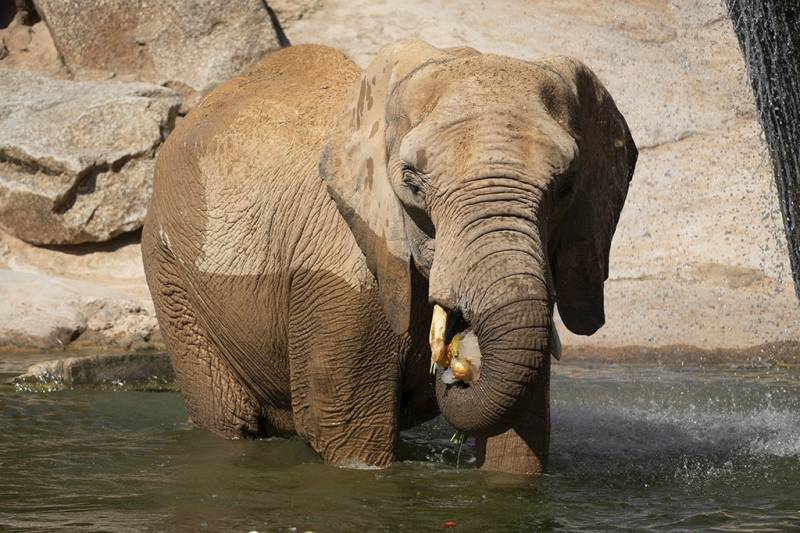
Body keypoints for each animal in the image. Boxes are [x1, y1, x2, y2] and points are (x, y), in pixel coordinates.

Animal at [144, 40, 636, 474]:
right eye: (412, 182)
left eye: (567, 186)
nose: (457, 369)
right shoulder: (343, 273)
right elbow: (345, 431)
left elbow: (520, 439)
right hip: (172, 277)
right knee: (227, 418)